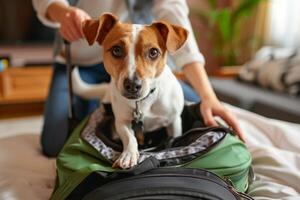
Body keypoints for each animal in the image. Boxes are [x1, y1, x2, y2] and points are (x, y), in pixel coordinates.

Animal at [72, 12, 188, 169]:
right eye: (116, 50)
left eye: (153, 52)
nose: (133, 85)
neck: (142, 102)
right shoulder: (121, 122)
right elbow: (130, 137)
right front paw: (128, 154)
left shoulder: (174, 121)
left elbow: (174, 137)